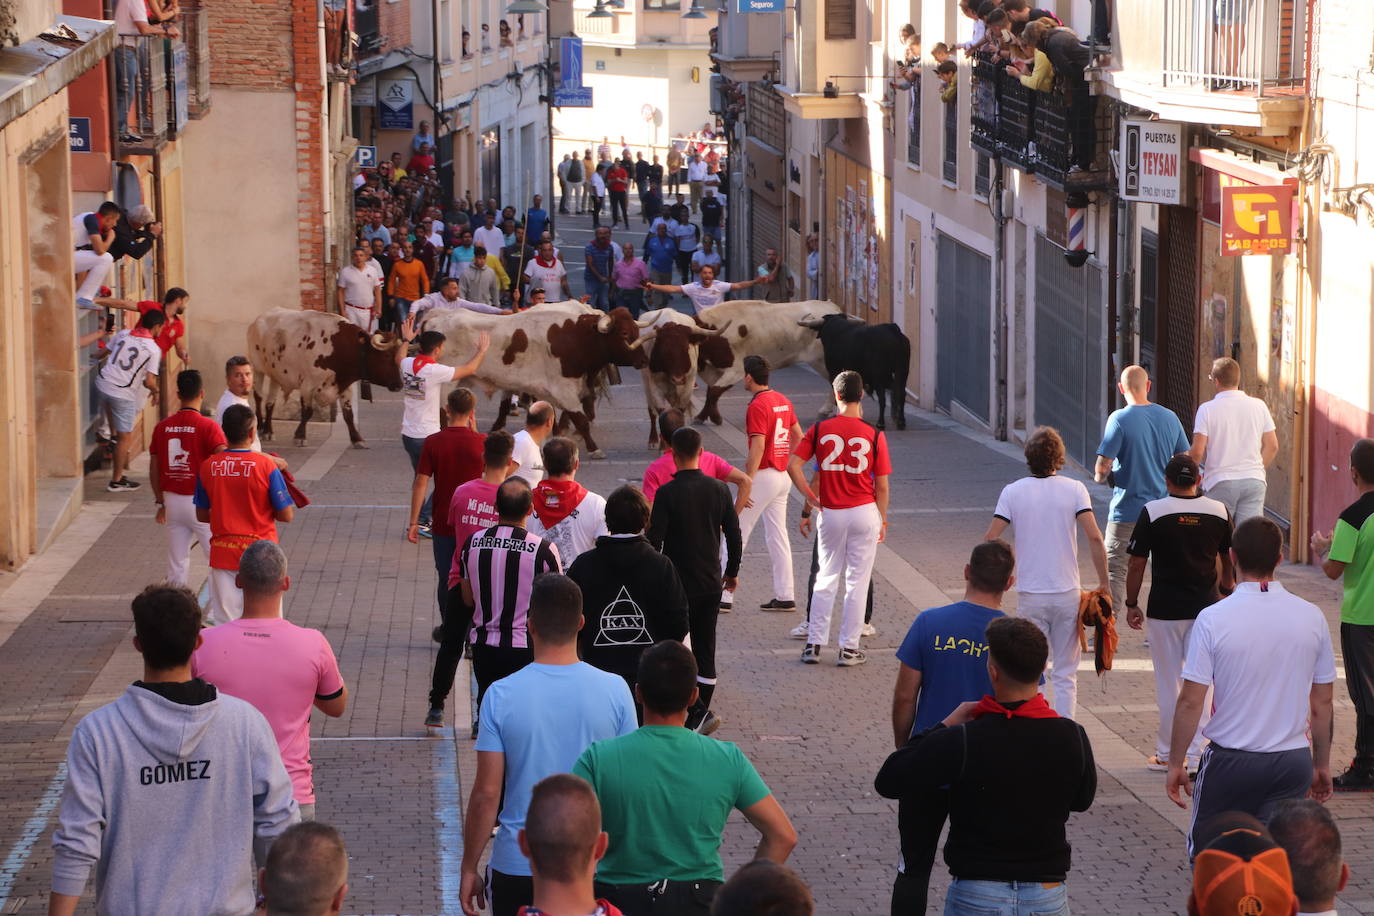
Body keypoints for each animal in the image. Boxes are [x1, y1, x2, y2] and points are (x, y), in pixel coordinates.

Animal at [250, 310, 403, 450]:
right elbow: (307, 412)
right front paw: (300, 436)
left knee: (270, 402)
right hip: (257, 368)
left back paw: (268, 431)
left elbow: (349, 415)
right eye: (387, 356)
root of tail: (260, 318)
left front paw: (357, 439)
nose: (399, 385)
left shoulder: (345, 386)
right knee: (259, 397)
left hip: (275, 374)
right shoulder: (307, 385)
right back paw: (260, 427)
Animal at [420, 304, 651, 458]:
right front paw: (594, 449)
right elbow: (581, 420)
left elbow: (554, 420)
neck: (576, 337)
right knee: (441, 411)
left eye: (636, 330)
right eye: (624, 333)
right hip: (446, 381)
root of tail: (438, 315)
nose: (644, 360)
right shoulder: (564, 390)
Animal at [692, 302, 840, 428]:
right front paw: (711, 416)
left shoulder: (736, 370)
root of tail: (833, 308)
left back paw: (826, 410)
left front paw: (703, 417)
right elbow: (712, 392)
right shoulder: (715, 370)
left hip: (822, 362)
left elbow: (713, 392)